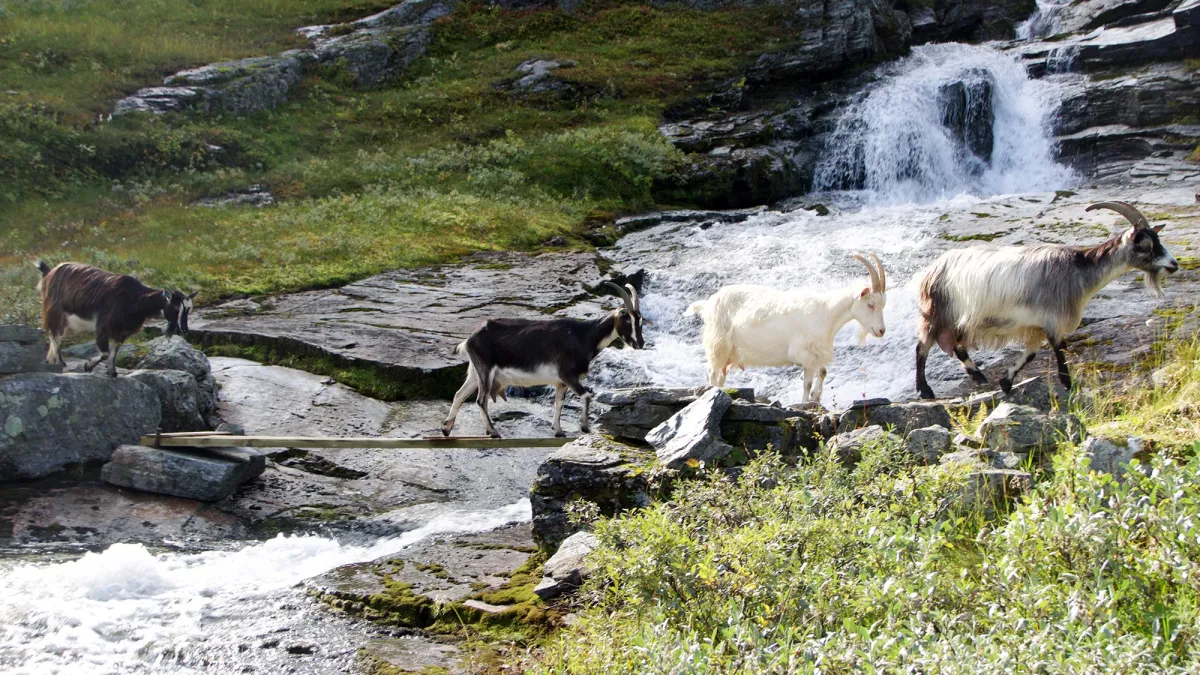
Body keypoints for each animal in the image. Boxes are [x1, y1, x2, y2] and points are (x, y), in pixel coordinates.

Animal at [36, 258, 195, 374]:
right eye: (175, 308)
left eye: (189, 310)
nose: (184, 330)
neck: (135, 299)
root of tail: (50, 272)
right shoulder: (103, 326)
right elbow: (106, 353)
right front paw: (88, 366)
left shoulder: (121, 332)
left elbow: (113, 353)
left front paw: (112, 372)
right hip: (54, 311)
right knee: (53, 334)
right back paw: (61, 362)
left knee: (57, 336)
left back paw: (52, 361)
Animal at [444, 282, 648, 437]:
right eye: (627, 320)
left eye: (640, 320)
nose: (640, 343)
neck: (583, 336)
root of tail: (471, 338)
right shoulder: (567, 375)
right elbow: (587, 395)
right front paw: (584, 427)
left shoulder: (560, 382)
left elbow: (559, 403)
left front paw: (558, 430)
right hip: (485, 369)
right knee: (481, 399)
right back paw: (492, 431)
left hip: (475, 371)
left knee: (459, 394)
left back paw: (446, 429)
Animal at [686, 251, 892, 398]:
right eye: (870, 304)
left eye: (883, 304)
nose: (881, 330)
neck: (827, 313)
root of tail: (708, 304)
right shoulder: (805, 354)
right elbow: (809, 382)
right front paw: (808, 402)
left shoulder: (816, 355)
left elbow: (821, 374)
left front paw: (816, 399)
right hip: (718, 345)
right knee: (712, 373)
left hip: (729, 353)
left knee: (721, 375)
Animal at [916, 201, 1180, 396]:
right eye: (1145, 245)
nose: (1173, 265)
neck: (1078, 271)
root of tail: (931, 270)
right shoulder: (1053, 319)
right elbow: (1059, 351)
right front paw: (1069, 384)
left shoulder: (1036, 326)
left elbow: (1031, 355)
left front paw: (1006, 381)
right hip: (937, 312)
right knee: (922, 347)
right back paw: (925, 390)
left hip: (958, 319)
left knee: (957, 345)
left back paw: (978, 375)